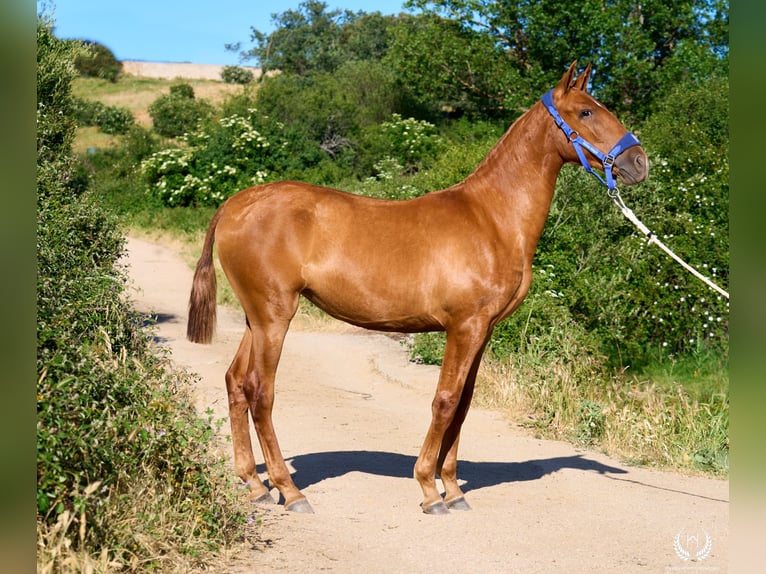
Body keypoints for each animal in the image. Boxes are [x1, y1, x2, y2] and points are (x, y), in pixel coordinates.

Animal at [187, 62, 648, 514]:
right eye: (585, 112)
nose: (639, 162)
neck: (491, 218)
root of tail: (234, 205)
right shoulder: (463, 327)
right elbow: (445, 400)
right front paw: (429, 489)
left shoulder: (482, 330)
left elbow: (463, 404)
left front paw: (454, 489)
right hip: (275, 317)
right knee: (260, 391)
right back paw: (291, 491)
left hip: (256, 318)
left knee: (235, 382)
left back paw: (255, 484)